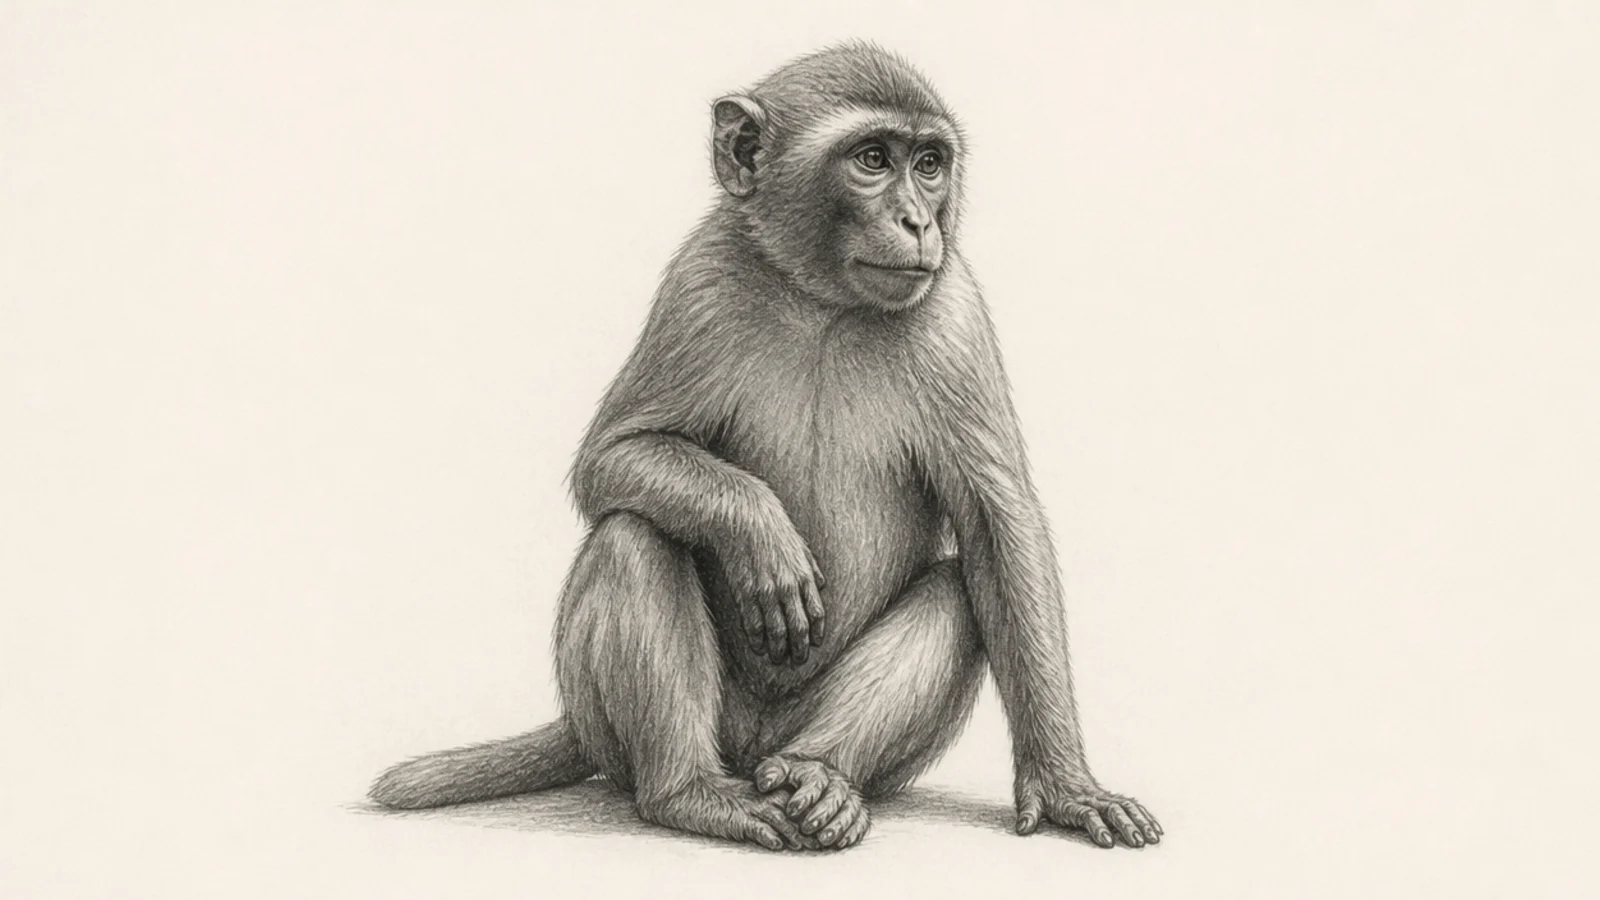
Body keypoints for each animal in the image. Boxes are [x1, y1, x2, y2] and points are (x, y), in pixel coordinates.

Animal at [369, 41, 1160, 853]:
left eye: (929, 163)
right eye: (872, 158)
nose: (917, 221)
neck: (823, 302)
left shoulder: (954, 312)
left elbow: (998, 528)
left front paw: (1066, 786)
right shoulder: (699, 281)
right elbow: (612, 459)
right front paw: (758, 530)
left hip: (807, 737)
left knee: (958, 591)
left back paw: (821, 775)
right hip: (637, 725)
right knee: (634, 534)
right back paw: (688, 793)